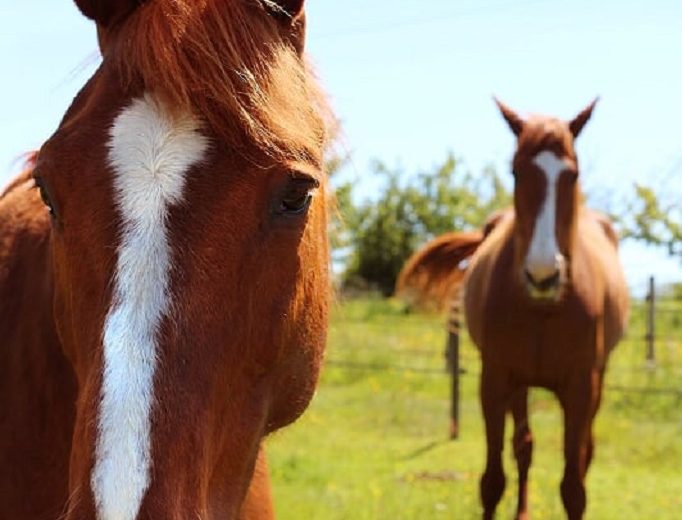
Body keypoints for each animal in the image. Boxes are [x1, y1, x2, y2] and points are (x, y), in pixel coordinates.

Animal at [398, 99, 628, 516]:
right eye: (516, 172)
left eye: (572, 174)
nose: (543, 275)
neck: (542, 309)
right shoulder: (495, 380)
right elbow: (492, 481)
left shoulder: (581, 387)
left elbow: (574, 487)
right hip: (520, 385)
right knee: (524, 446)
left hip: (596, 379)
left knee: (582, 452)